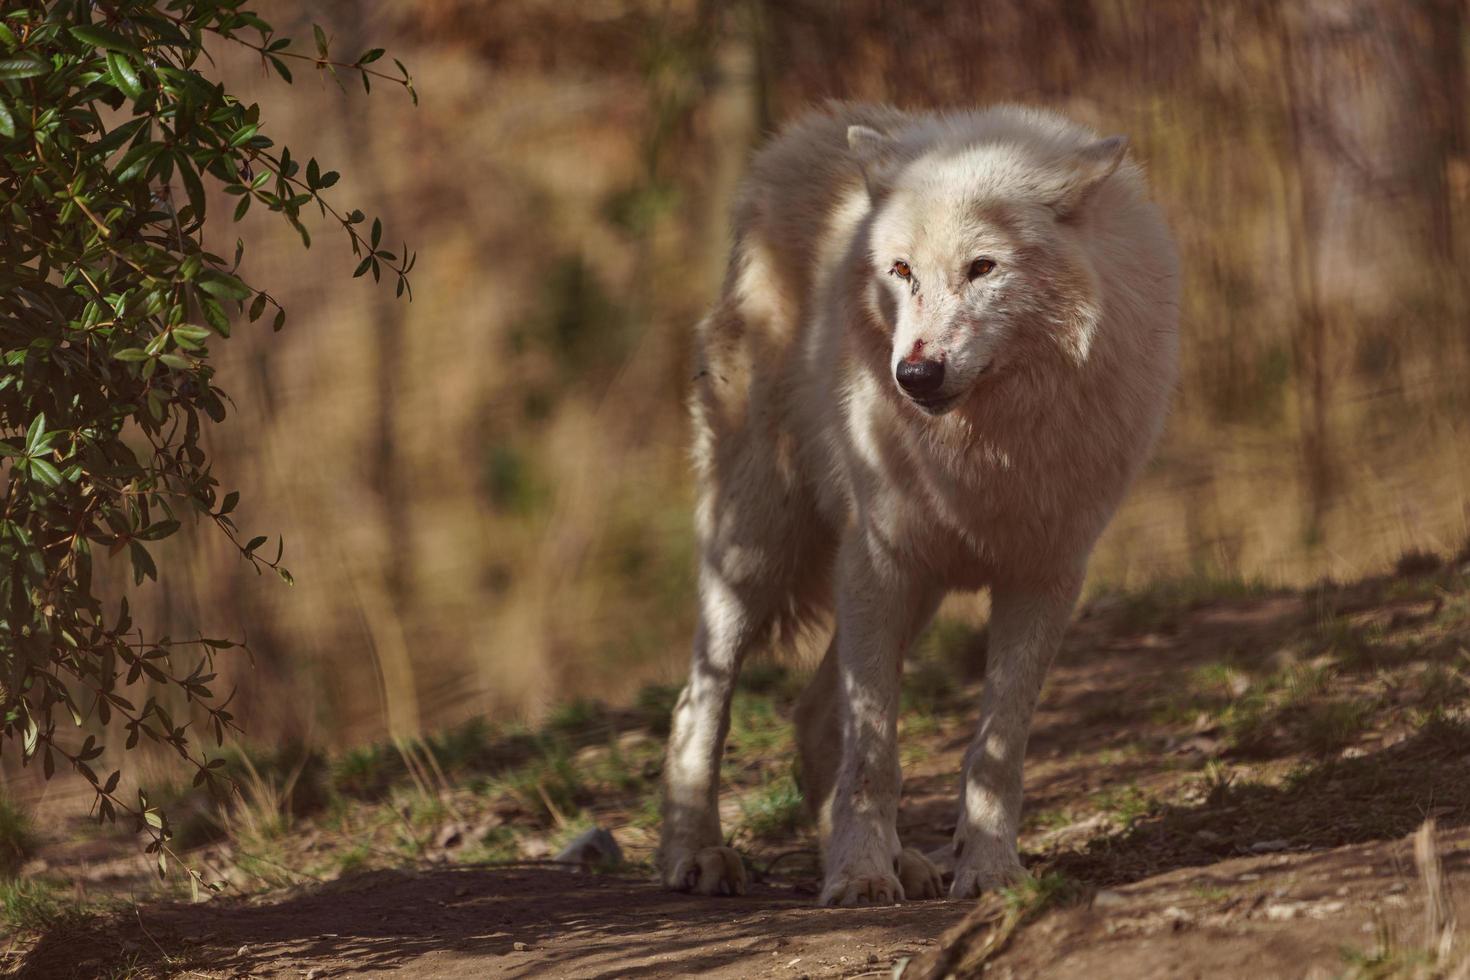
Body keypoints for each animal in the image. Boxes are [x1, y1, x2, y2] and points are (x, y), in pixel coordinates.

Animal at [661, 99, 1176, 905]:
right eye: (901, 271)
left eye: (983, 267)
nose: (915, 375)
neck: (986, 446)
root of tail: (796, 139)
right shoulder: (879, 562)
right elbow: (875, 752)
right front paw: (859, 876)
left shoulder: (1045, 575)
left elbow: (997, 748)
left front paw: (989, 870)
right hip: (757, 548)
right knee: (699, 706)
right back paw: (699, 854)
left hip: (916, 590)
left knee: (814, 718)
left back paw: (897, 861)